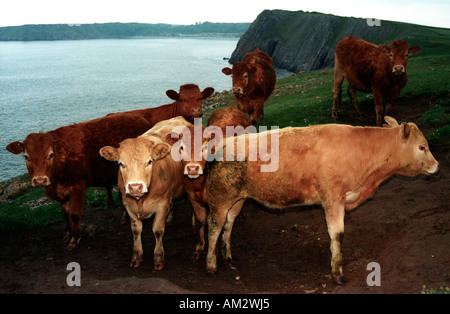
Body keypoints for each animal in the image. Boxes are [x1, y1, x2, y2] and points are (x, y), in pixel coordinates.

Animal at [5, 83, 214, 250]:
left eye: (50, 155)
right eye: (26, 156)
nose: (40, 180)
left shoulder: (78, 186)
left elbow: (74, 215)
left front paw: (74, 240)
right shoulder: (62, 192)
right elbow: (65, 215)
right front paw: (68, 235)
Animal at [98, 116, 192, 268]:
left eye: (149, 161)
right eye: (121, 163)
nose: (135, 186)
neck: (141, 200)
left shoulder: (162, 202)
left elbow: (158, 230)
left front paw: (159, 258)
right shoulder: (127, 203)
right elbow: (136, 231)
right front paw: (137, 256)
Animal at [207, 117, 440, 284]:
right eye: (422, 147)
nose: (437, 166)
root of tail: (223, 143)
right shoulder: (332, 197)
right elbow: (337, 235)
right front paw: (337, 273)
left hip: (237, 199)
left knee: (228, 224)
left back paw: (228, 259)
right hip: (219, 199)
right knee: (214, 227)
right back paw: (211, 266)